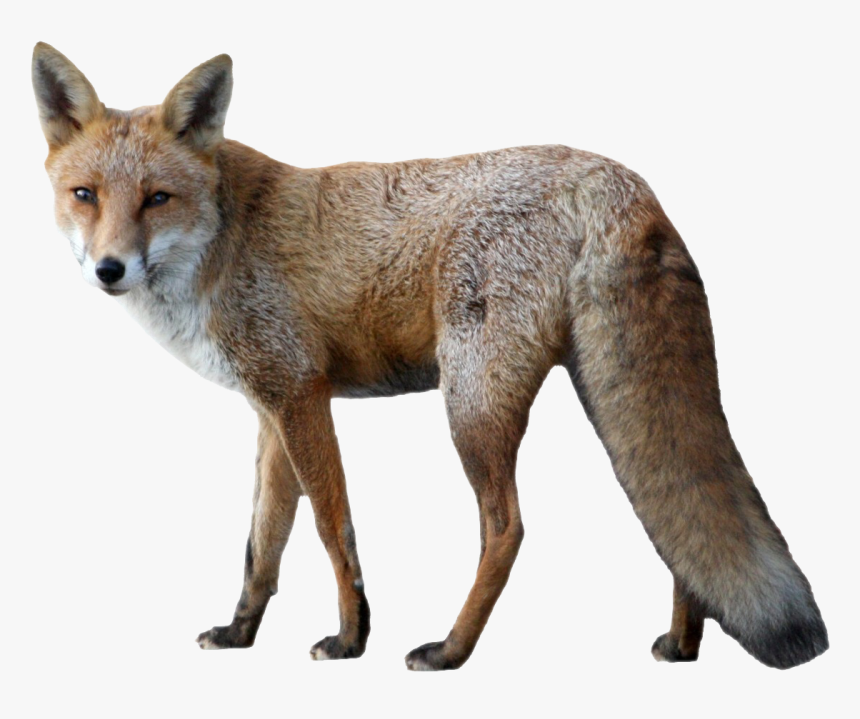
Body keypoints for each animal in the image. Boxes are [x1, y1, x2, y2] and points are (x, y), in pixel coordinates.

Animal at [32, 42, 828, 671]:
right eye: (85, 195)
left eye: (157, 198)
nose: (109, 269)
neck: (223, 242)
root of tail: (615, 178)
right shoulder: (271, 408)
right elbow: (263, 543)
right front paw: (239, 633)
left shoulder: (300, 395)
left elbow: (332, 527)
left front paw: (351, 638)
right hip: (605, 397)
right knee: (670, 519)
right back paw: (682, 643)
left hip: (472, 402)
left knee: (508, 529)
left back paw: (451, 649)